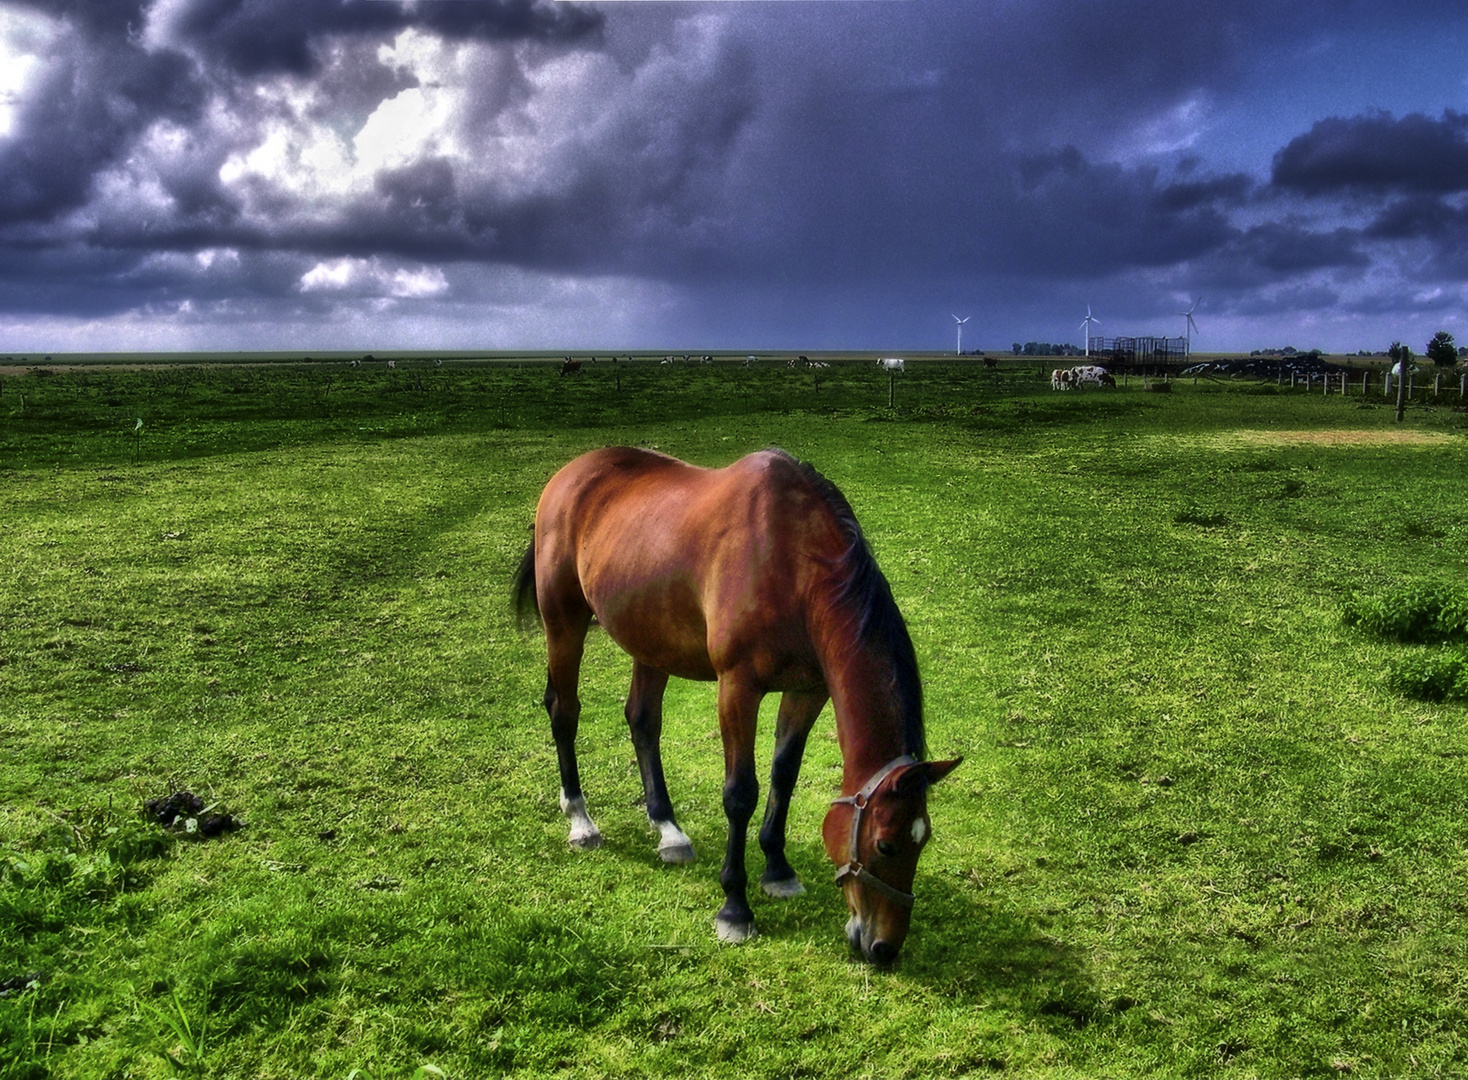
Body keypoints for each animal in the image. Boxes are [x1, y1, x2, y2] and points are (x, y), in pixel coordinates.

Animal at [516, 446, 963, 962]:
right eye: (886, 845)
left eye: (923, 841)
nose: (884, 948)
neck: (794, 563)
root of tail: (572, 471)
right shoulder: (737, 687)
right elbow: (740, 793)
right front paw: (735, 907)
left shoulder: (807, 690)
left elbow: (783, 775)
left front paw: (778, 868)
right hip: (563, 624)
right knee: (564, 712)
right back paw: (581, 820)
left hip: (650, 637)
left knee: (642, 720)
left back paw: (668, 828)